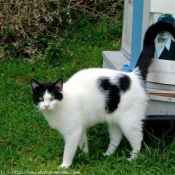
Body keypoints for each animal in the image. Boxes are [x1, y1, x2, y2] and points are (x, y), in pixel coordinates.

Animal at [30, 21, 175, 167]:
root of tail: (134, 75)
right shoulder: (80, 129)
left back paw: (132, 159)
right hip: (114, 120)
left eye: (52, 98)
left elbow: (69, 151)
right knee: (116, 138)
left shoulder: (73, 132)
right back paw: (107, 155)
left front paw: (65, 166)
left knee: (138, 139)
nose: (46, 106)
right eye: (41, 98)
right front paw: (86, 157)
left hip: (129, 121)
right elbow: (83, 144)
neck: (59, 107)